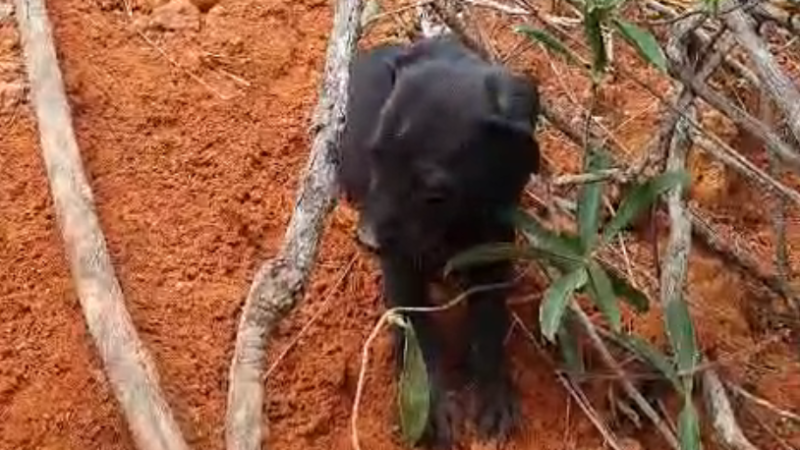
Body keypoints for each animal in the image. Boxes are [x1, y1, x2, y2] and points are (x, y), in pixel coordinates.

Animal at [338, 35, 544, 446]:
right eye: (375, 156)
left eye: (434, 193)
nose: (366, 241)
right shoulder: (400, 266)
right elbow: (418, 334)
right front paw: (431, 407)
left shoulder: (494, 245)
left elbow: (489, 324)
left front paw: (494, 394)